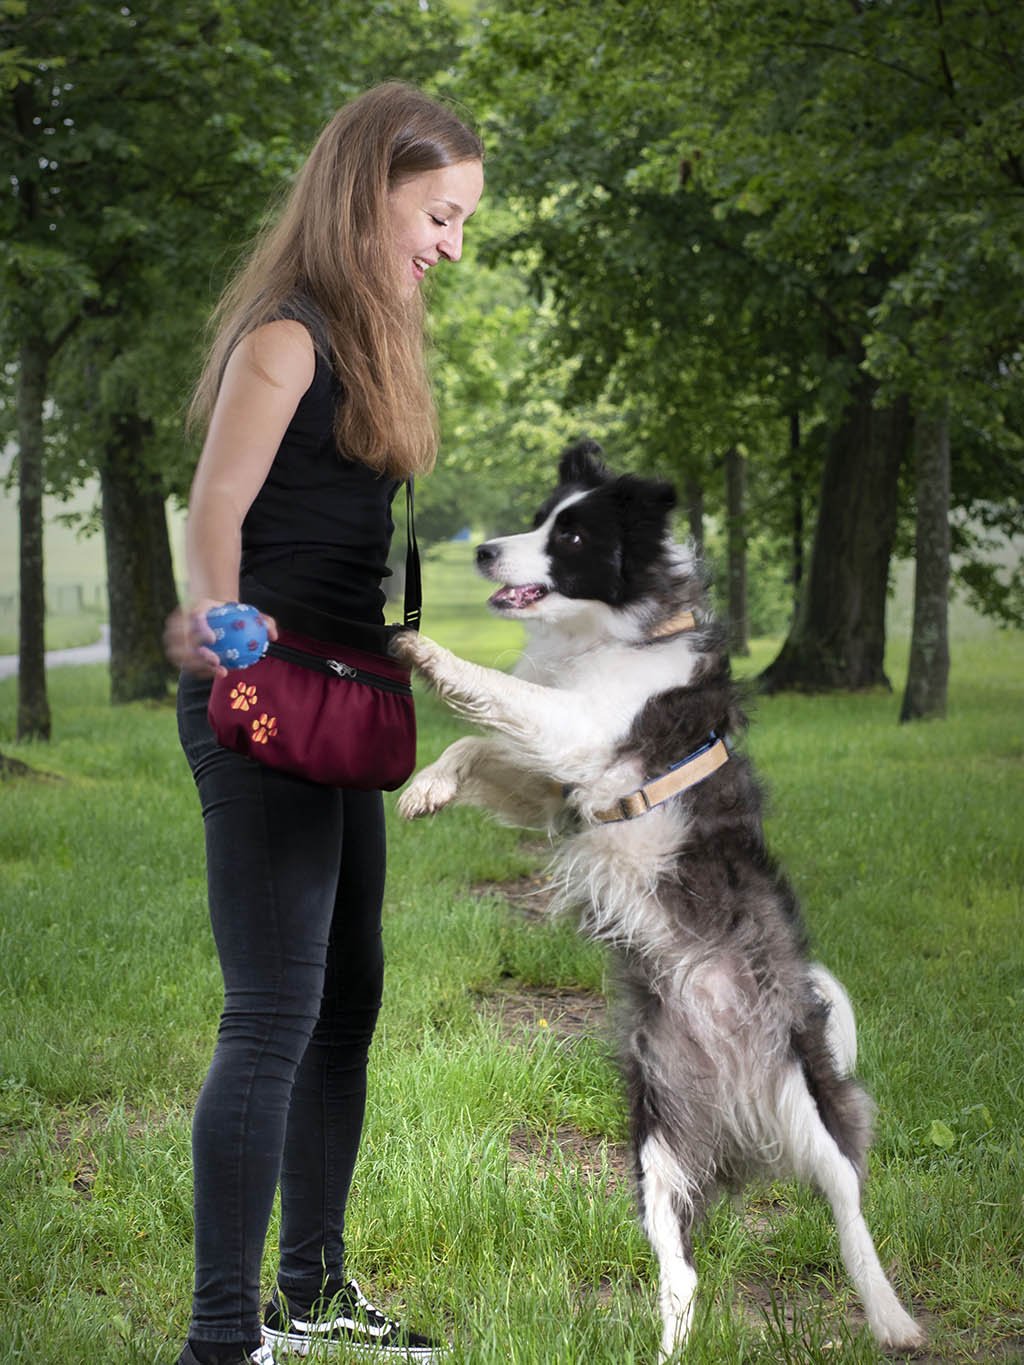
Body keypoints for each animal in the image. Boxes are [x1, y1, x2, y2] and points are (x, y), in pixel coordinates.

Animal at [390, 442, 922, 1359]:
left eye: (571, 534)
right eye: (539, 515)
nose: (486, 550)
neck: (607, 632)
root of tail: (735, 1096)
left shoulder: (580, 727)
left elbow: (496, 696)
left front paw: (428, 651)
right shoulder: (560, 784)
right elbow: (481, 746)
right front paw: (428, 786)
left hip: (808, 1103)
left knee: (849, 1202)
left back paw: (892, 1316)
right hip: (657, 1140)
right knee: (684, 1275)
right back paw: (673, 1337)